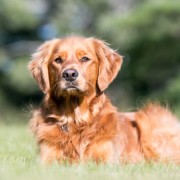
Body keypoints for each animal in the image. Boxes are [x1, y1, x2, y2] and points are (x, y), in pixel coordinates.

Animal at [28, 35, 180, 165]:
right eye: (58, 60)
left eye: (85, 58)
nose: (70, 74)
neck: (76, 119)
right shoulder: (47, 160)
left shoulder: (106, 160)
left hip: (147, 119)